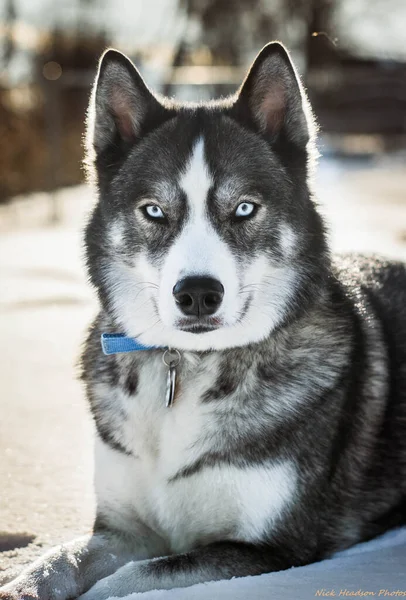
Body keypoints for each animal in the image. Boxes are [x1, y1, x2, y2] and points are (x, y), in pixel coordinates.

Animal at [0, 42, 406, 600]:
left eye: (244, 209)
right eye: (154, 211)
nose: (197, 294)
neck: (188, 365)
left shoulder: (269, 550)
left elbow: (135, 578)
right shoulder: (123, 530)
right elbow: (62, 557)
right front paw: (23, 583)